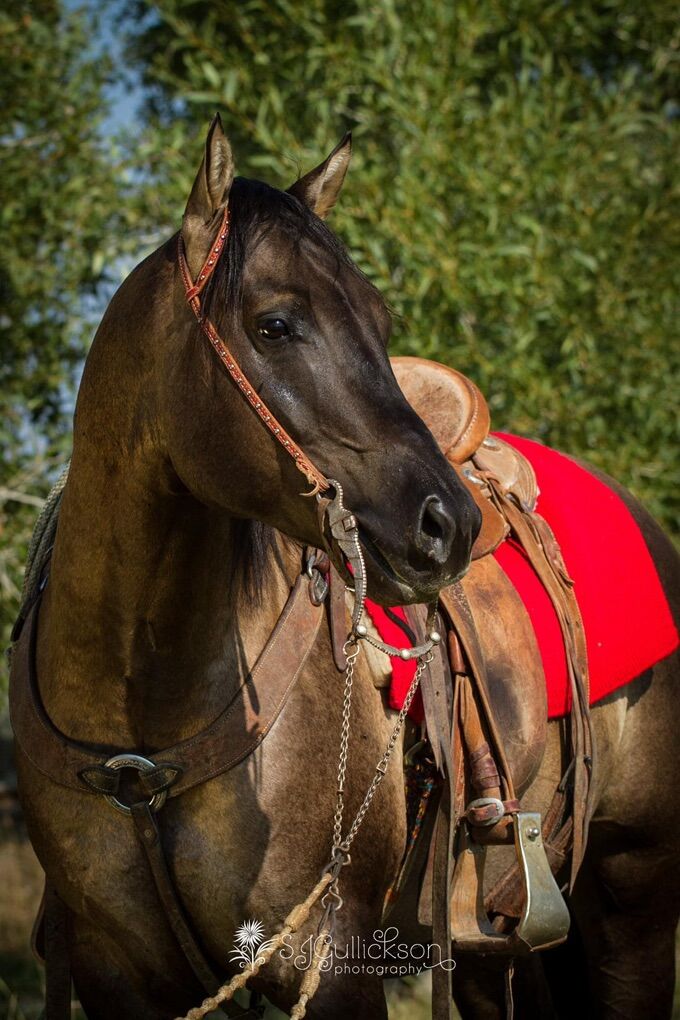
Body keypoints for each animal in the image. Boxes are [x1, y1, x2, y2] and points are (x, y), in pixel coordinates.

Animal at [11, 117, 680, 1020]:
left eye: (380, 321)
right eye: (274, 325)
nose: (451, 524)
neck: (142, 723)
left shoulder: (331, 962)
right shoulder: (118, 974)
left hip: (635, 903)